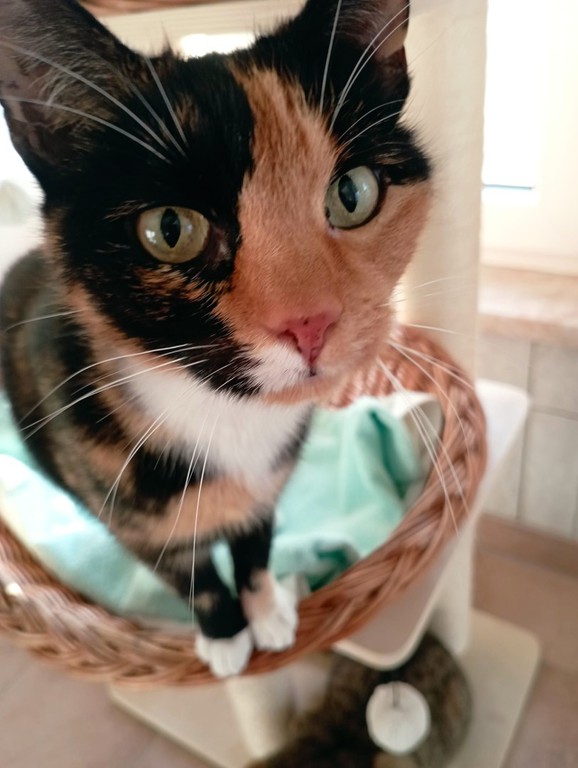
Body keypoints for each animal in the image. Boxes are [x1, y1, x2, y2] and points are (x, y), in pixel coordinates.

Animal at [0, 0, 431, 677]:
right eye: (170, 229)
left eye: (353, 192)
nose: (311, 323)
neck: (226, 416)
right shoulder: (131, 516)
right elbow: (192, 576)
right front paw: (226, 635)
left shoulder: (269, 486)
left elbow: (255, 543)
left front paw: (267, 609)